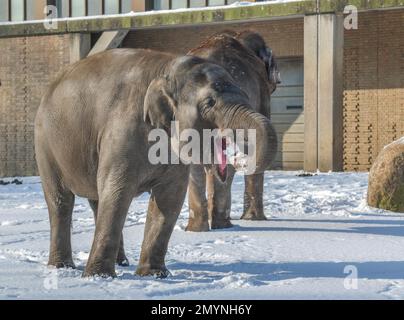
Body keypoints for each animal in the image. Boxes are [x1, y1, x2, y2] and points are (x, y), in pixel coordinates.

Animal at [34, 47, 278, 278]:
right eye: (210, 102)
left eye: (246, 95)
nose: (238, 159)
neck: (168, 68)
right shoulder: (123, 129)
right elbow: (118, 192)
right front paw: (97, 277)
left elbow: (169, 198)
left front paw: (154, 275)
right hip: (46, 145)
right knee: (61, 202)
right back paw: (61, 267)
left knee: (96, 200)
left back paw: (122, 263)